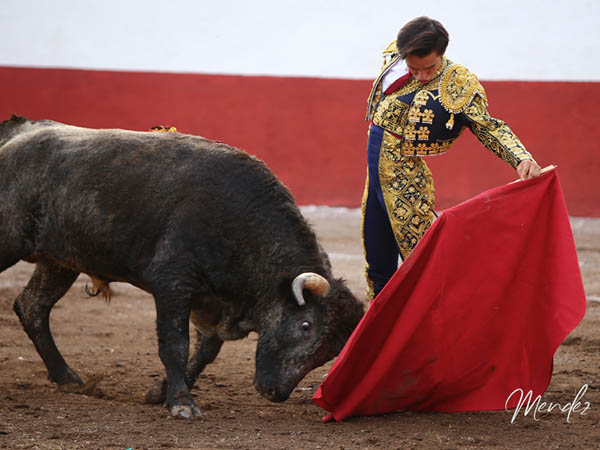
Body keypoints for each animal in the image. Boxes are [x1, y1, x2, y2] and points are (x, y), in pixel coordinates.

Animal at [0, 115, 364, 418]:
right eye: (306, 326)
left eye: (332, 351)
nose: (275, 393)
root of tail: (17, 133)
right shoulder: (173, 284)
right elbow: (175, 344)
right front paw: (181, 403)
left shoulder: (211, 304)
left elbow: (203, 352)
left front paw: (161, 393)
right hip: (10, 242)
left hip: (60, 262)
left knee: (32, 307)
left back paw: (67, 378)